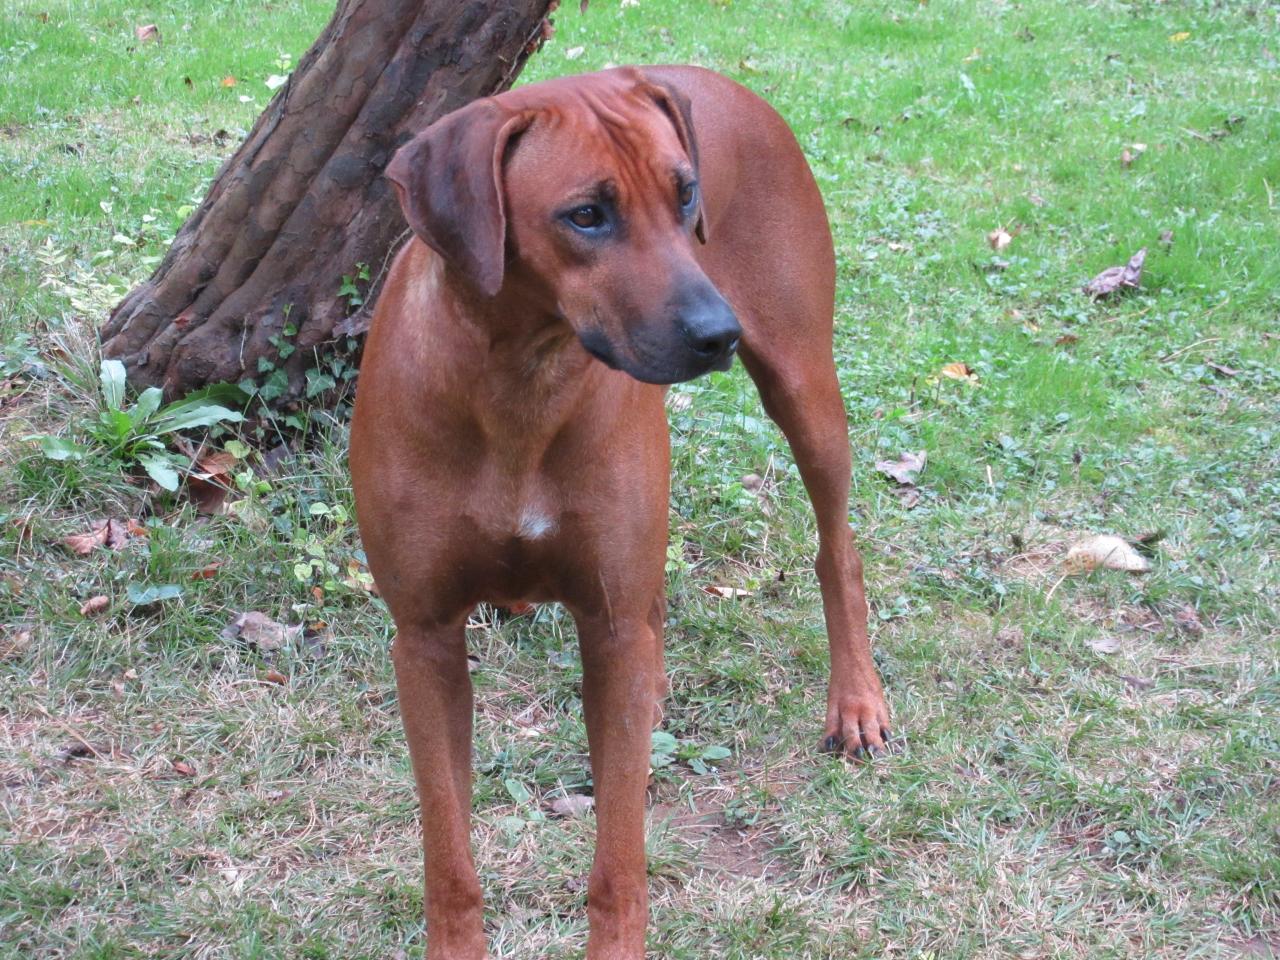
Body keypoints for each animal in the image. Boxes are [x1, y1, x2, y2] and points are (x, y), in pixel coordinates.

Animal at [350, 64, 890, 957]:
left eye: (685, 194)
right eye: (585, 216)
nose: (718, 333)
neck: (520, 378)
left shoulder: (604, 618)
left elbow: (620, 863)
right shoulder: (424, 640)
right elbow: (449, 856)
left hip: (803, 384)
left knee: (834, 546)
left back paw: (856, 701)